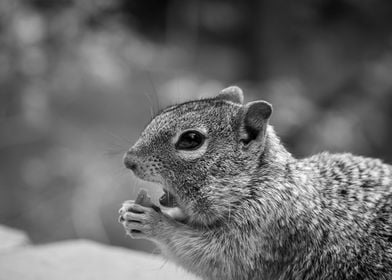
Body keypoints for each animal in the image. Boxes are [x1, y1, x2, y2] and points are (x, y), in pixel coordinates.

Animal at [118, 86, 390, 280]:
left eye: (191, 139)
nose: (128, 160)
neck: (256, 184)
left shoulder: (265, 231)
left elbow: (214, 258)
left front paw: (153, 221)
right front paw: (128, 209)